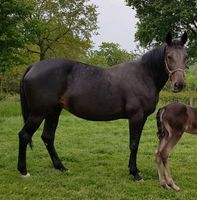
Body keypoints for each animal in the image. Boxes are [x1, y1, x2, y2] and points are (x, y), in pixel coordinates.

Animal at [17, 32, 188, 180]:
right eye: (169, 56)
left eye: (186, 56)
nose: (179, 85)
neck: (144, 75)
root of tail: (33, 67)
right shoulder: (136, 117)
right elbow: (133, 144)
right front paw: (135, 173)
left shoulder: (143, 118)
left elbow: (136, 143)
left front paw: (134, 169)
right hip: (38, 113)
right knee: (24, 135)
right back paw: (23, 171)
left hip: (53, 111)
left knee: (48, 137)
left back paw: (61, 167)